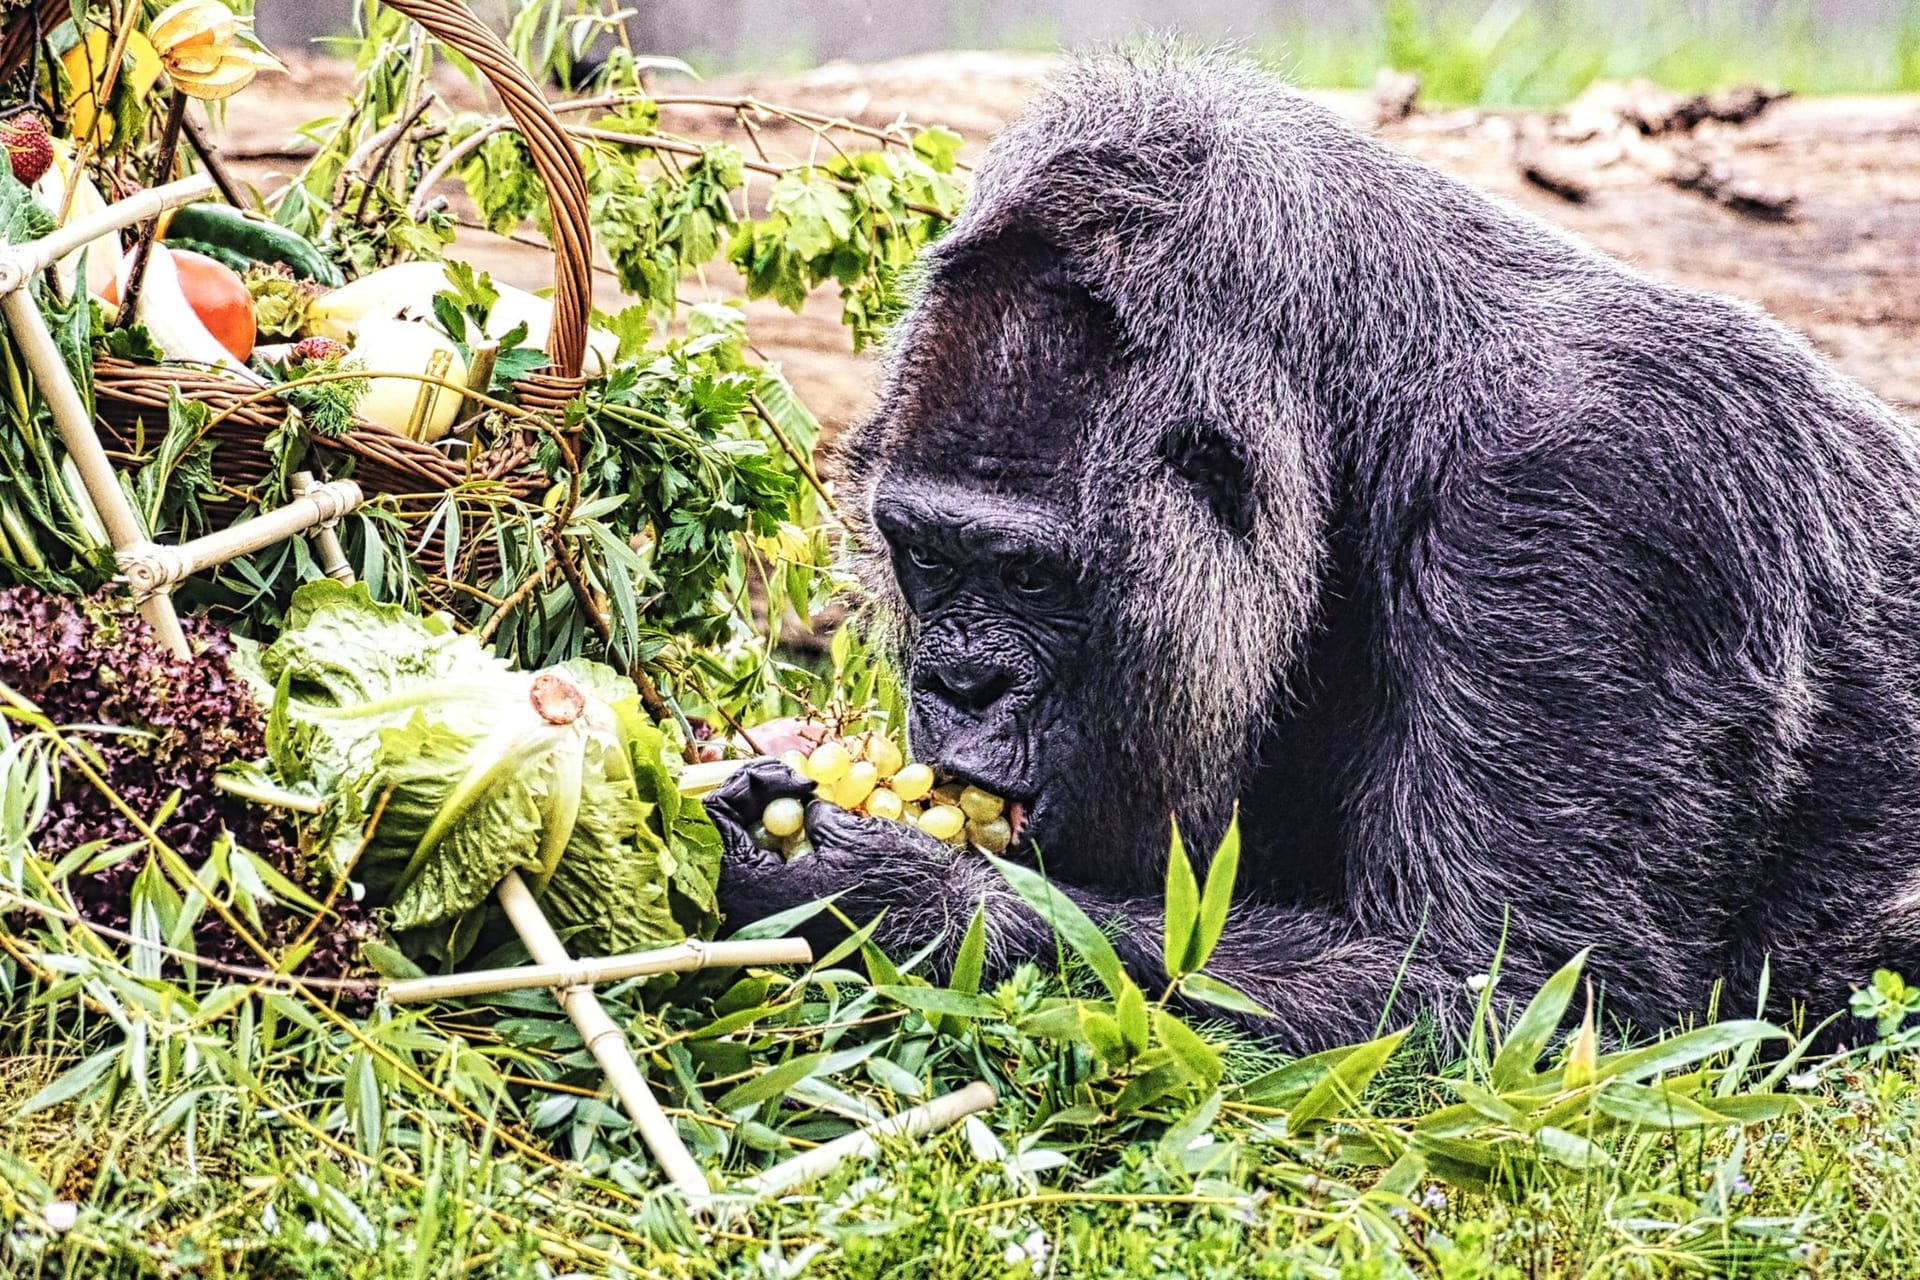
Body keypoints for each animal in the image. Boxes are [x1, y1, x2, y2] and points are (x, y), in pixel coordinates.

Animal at [714, 52, 1920, 1051]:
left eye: (1027, 575)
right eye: (927, 557)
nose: (960, 684)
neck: (1372, 402)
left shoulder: (1596, 502)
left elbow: (1523, 1004)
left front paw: (880, 889)